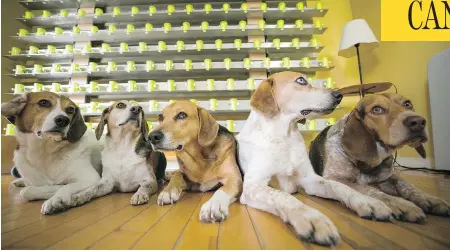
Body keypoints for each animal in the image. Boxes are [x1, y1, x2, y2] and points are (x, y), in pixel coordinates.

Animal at [310, 93, 450, 221]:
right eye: (377, 109)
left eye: (407, 104)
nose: (418, 122)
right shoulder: (335, 178)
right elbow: (369, 189)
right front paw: (401, 204)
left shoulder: (387, 177)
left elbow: (407, 184)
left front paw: (428, 198)